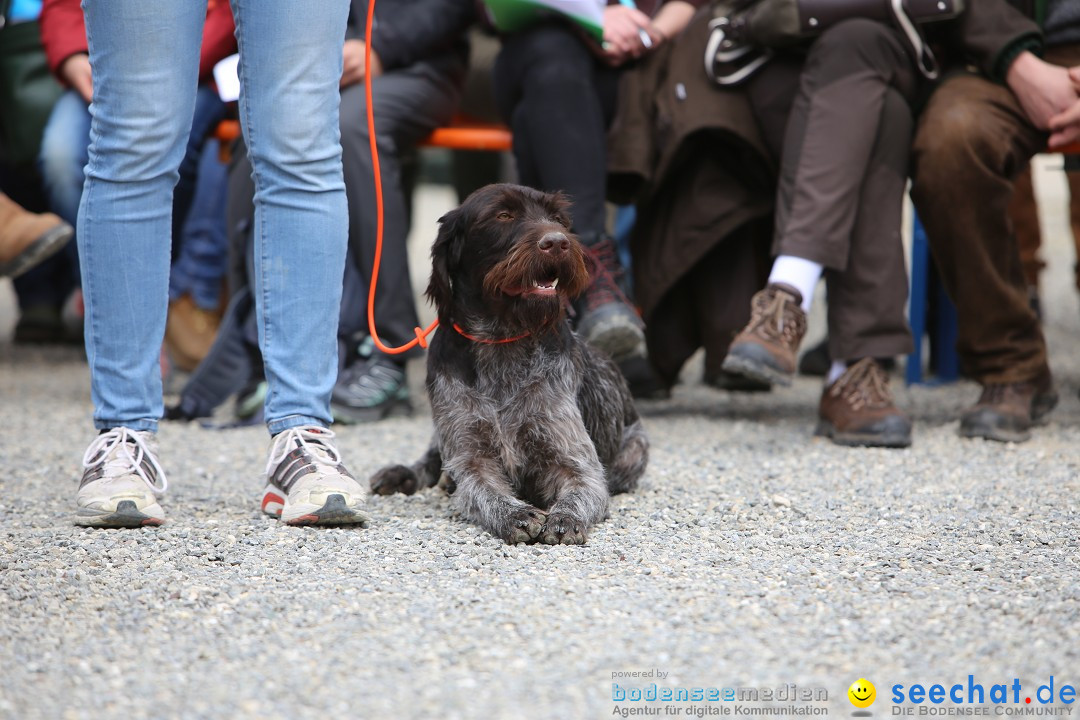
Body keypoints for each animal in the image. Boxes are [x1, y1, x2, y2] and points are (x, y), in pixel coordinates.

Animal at [369, 183, 648, 544]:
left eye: (558, 218)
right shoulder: (471, 455)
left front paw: (565, 517)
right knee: (431, 461)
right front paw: (515, 514)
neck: (503, 338)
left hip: (634, 452)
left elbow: (580, 488)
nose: (557, 241)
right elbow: (484, 491)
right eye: (503, 215)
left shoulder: (576, 461)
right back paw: (403, 474)